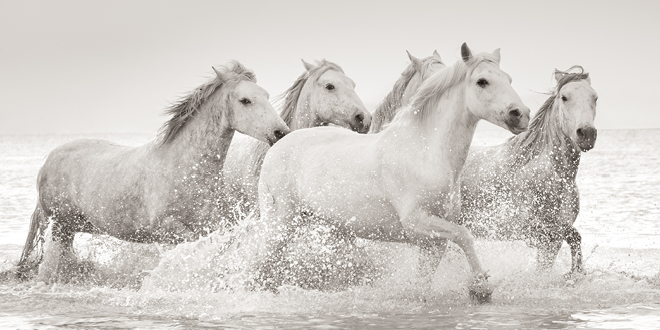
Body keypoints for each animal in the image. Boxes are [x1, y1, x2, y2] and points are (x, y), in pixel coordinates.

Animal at [14, 60, 288, 282]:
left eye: (266, 95)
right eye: (245, 100)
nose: (281, 132)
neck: (185, 170)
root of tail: (49, 160)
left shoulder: (210, 225)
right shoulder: (167, 230)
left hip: (73, 226)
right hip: (59, 225)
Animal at [458, 65, 600, 276]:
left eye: (595, 97)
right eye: (564, 97)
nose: (587, 133)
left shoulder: (552, 238)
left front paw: (575, 273)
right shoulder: (532, 230)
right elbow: (573, 235)